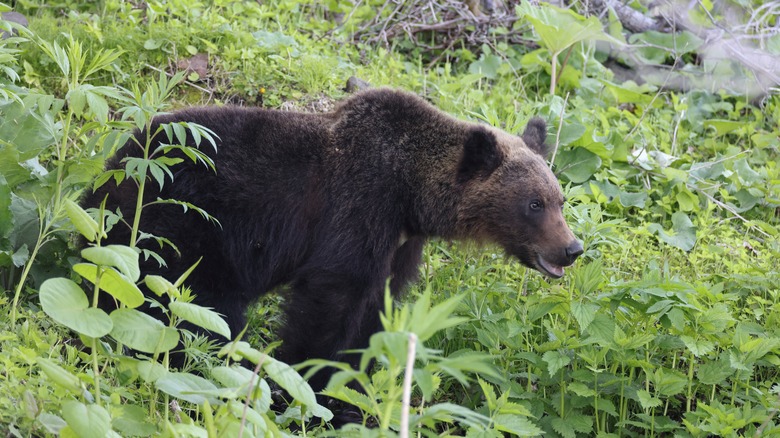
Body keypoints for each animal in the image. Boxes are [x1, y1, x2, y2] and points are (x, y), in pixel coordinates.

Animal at [82, 87, 580, 392]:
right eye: (534, 203)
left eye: (559, 199)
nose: (572, 249)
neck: (410, 196)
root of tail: (114, 165)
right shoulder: (357, 207)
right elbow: (331, 298)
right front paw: (305, 381)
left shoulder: (398, 245)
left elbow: (374, 309)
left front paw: (351, 390)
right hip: (180, 220)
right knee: (185, 301)